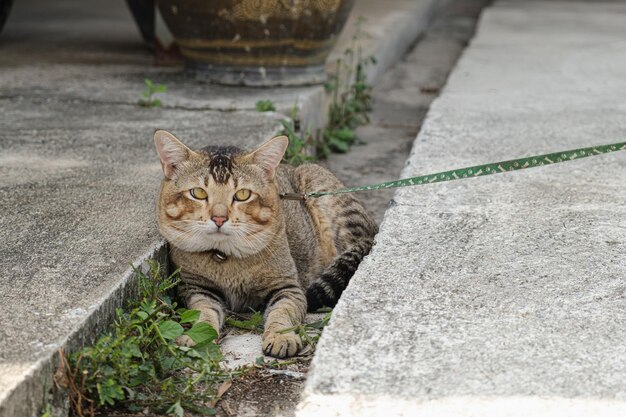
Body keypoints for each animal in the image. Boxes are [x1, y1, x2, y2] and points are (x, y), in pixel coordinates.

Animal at [154, 131, 376, 358]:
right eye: (198, 193)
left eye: (242, 195)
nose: (219, 218)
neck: (227, 257)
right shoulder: (196, 287)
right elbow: (204, 313)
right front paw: (197, 336)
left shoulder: (288, 286)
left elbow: (282, 312)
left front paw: (281, 336)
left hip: (330, 200)